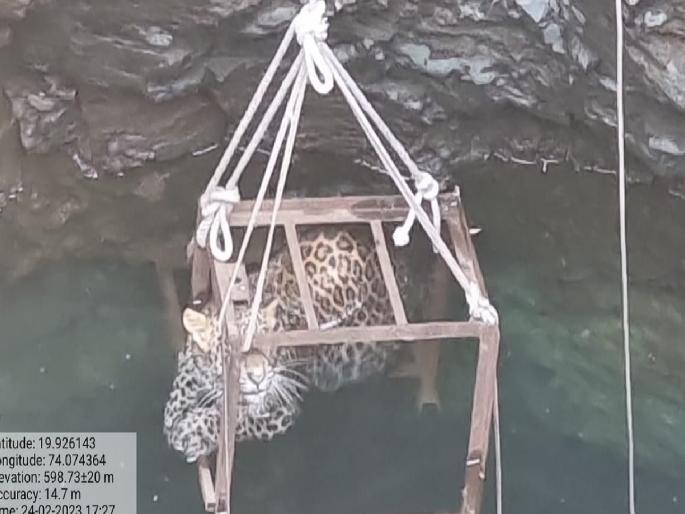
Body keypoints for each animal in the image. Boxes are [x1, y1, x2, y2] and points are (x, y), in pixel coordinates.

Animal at [163, 226, 411, 463]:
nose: (258, 376)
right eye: (228, 350)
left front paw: (192, 431)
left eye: (268, 345)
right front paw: (174, 412)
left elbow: (238, 417)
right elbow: (186, 376)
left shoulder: (283, 403)